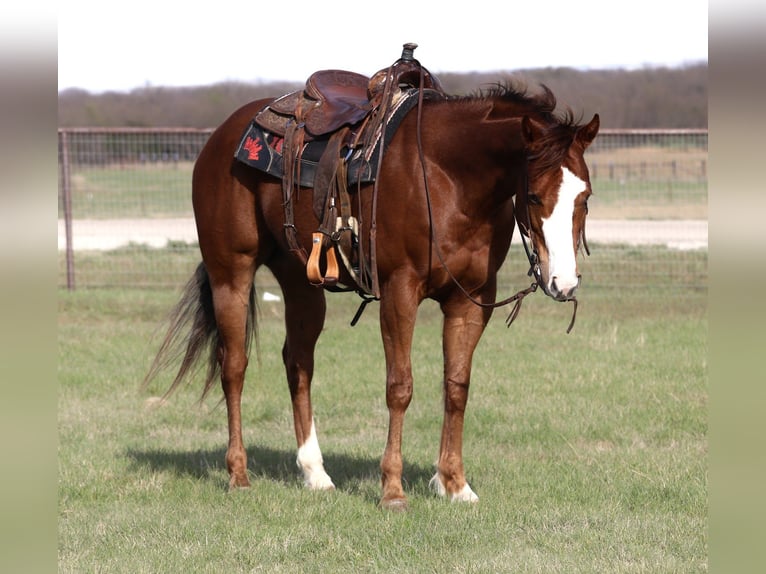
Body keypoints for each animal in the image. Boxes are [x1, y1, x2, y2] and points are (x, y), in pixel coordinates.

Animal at [144, 69, 599, 510]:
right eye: (534, 196)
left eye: (586, 197)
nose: (564, 282)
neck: (448, 177)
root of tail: (221, 136)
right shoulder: (400, 292)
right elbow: (400, 387)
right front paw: (393, 491)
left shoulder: (472, 299)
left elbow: (456, 386)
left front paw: (454, 485)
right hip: (231, 273)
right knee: (234, 366)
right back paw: (238, 475)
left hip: (301, 281)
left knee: (298, 362)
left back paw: (315, 474)